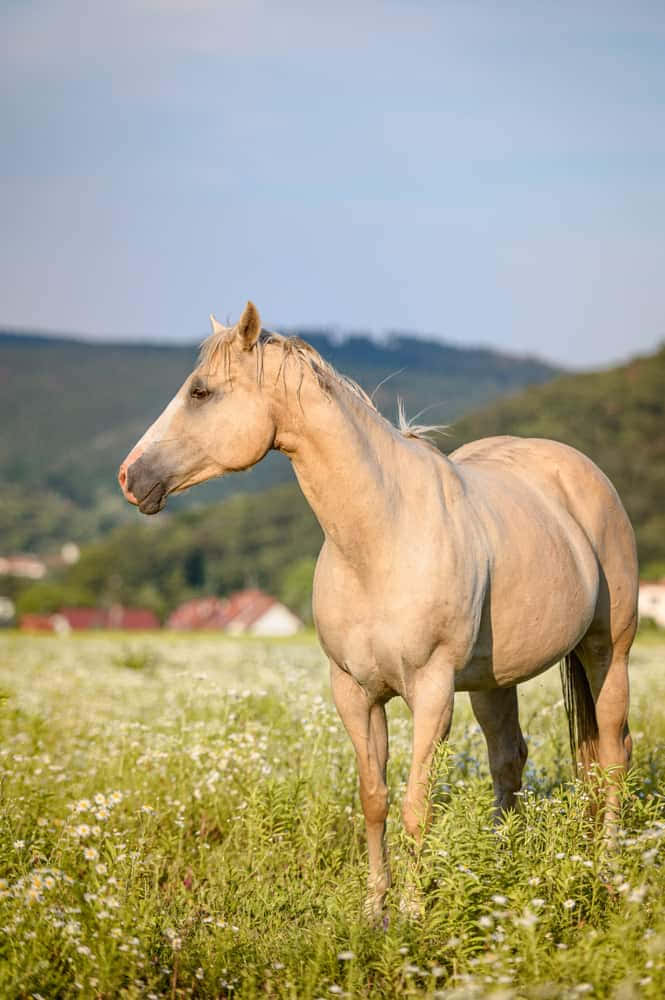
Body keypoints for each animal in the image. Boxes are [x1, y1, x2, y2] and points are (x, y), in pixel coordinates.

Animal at [118, 301, 638, 921]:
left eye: (201, 392)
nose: (130, 477)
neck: (381, 536)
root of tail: (581, 472)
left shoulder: (432, 692)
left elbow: (417, 805)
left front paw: (412, 912)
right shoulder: (354, 692)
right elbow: (374, 800)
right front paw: (375, 909)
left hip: (608, 651)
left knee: (613, 753)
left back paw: (608, 868)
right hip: (493, 681)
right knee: (509, 759)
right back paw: (500, 866)